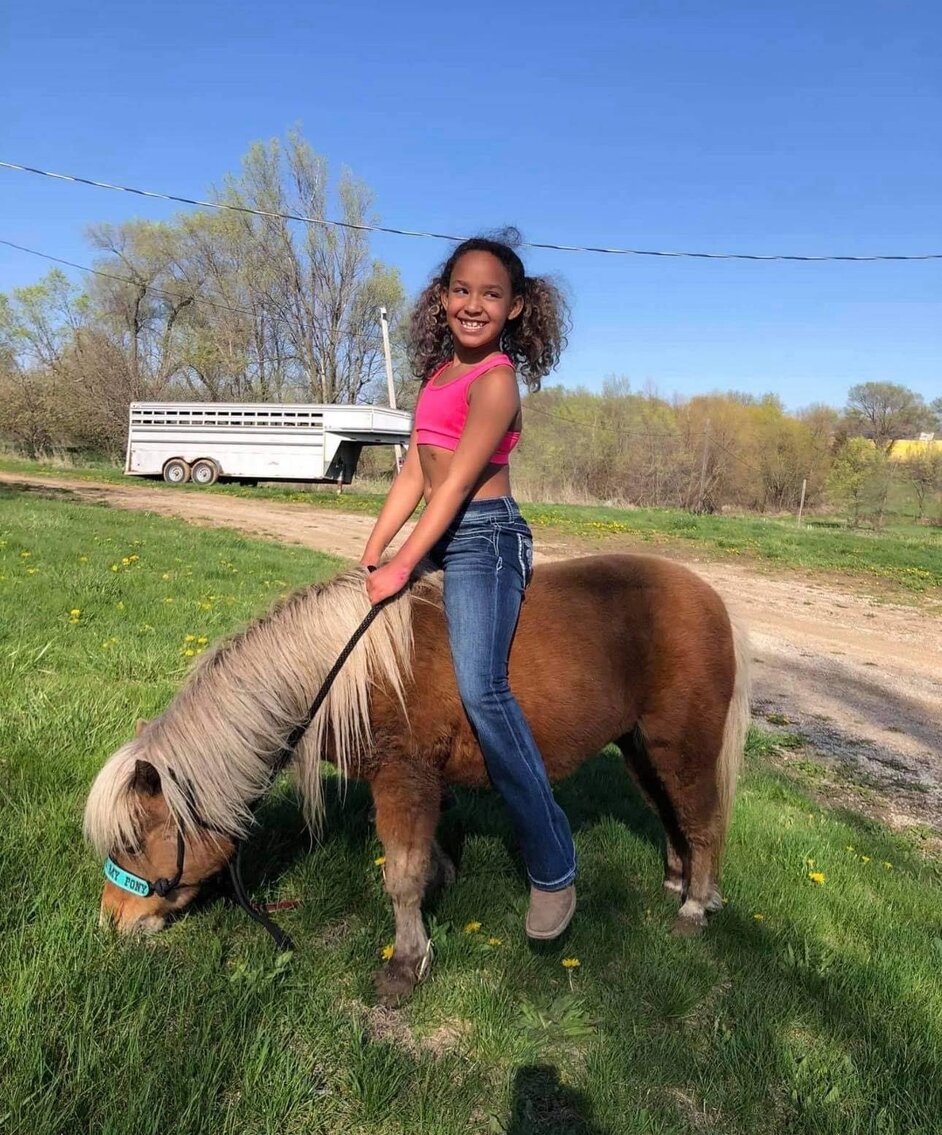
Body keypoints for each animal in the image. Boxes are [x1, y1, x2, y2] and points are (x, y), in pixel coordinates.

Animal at [85, 553, 750, 1004]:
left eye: (133, 841)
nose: (113, 921)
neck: (346, 668)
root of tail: (712, 598)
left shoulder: (402, 779)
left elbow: (400, 878)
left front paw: (406, 962)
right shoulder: (421, 785)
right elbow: (424, 857)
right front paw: (440, 883)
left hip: (681, 746)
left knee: (703, 821)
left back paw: (696, 905)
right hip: (639, 747)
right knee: (672, 815)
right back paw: (678, 881)